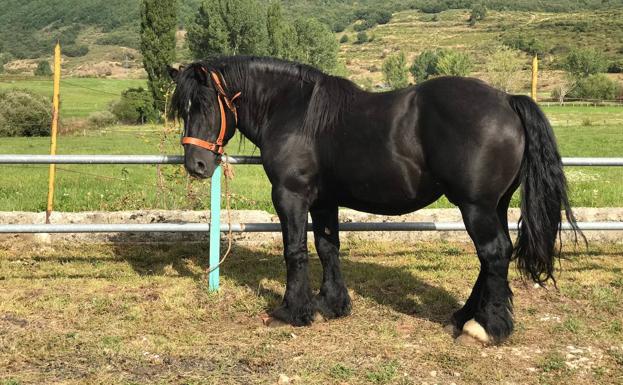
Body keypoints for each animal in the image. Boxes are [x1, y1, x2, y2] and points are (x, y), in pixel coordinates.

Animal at [169, 55, 580, 344]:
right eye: (183, 108)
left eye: (205, 105)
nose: (196, 164)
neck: (295, 111)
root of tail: (507, 100)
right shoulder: (324, 200)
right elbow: (327, 247)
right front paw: (332, 304)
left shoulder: (290, 195)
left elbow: (295, 250)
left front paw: (293, 311)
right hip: (494, 205)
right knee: (496, 254)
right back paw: (465, 316)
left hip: (475, 206)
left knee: (493, 253)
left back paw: (485, 328)